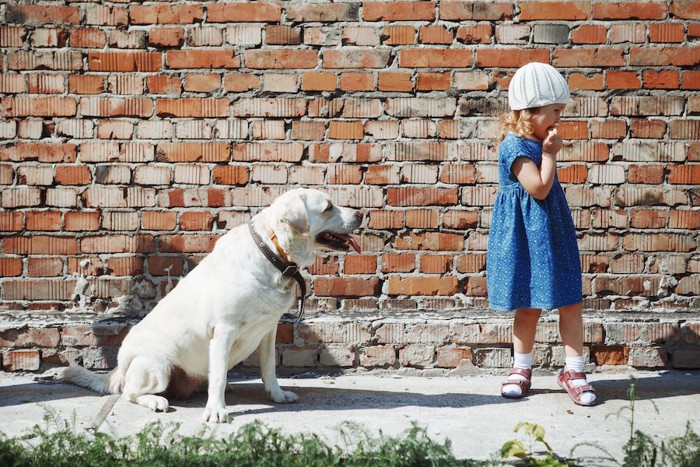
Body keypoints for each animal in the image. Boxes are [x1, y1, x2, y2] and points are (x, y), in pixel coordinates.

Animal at [61, 188, 360, 422]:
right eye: (328, 206)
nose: (360, 215)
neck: (273, 252)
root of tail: (118, 367)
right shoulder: (224, 330)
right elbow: (218, 377)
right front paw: (216, 411)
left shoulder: (268, 330)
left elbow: (269, 369)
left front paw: (276, 395)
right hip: (158, 366)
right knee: (129, 392)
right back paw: (156, 401)